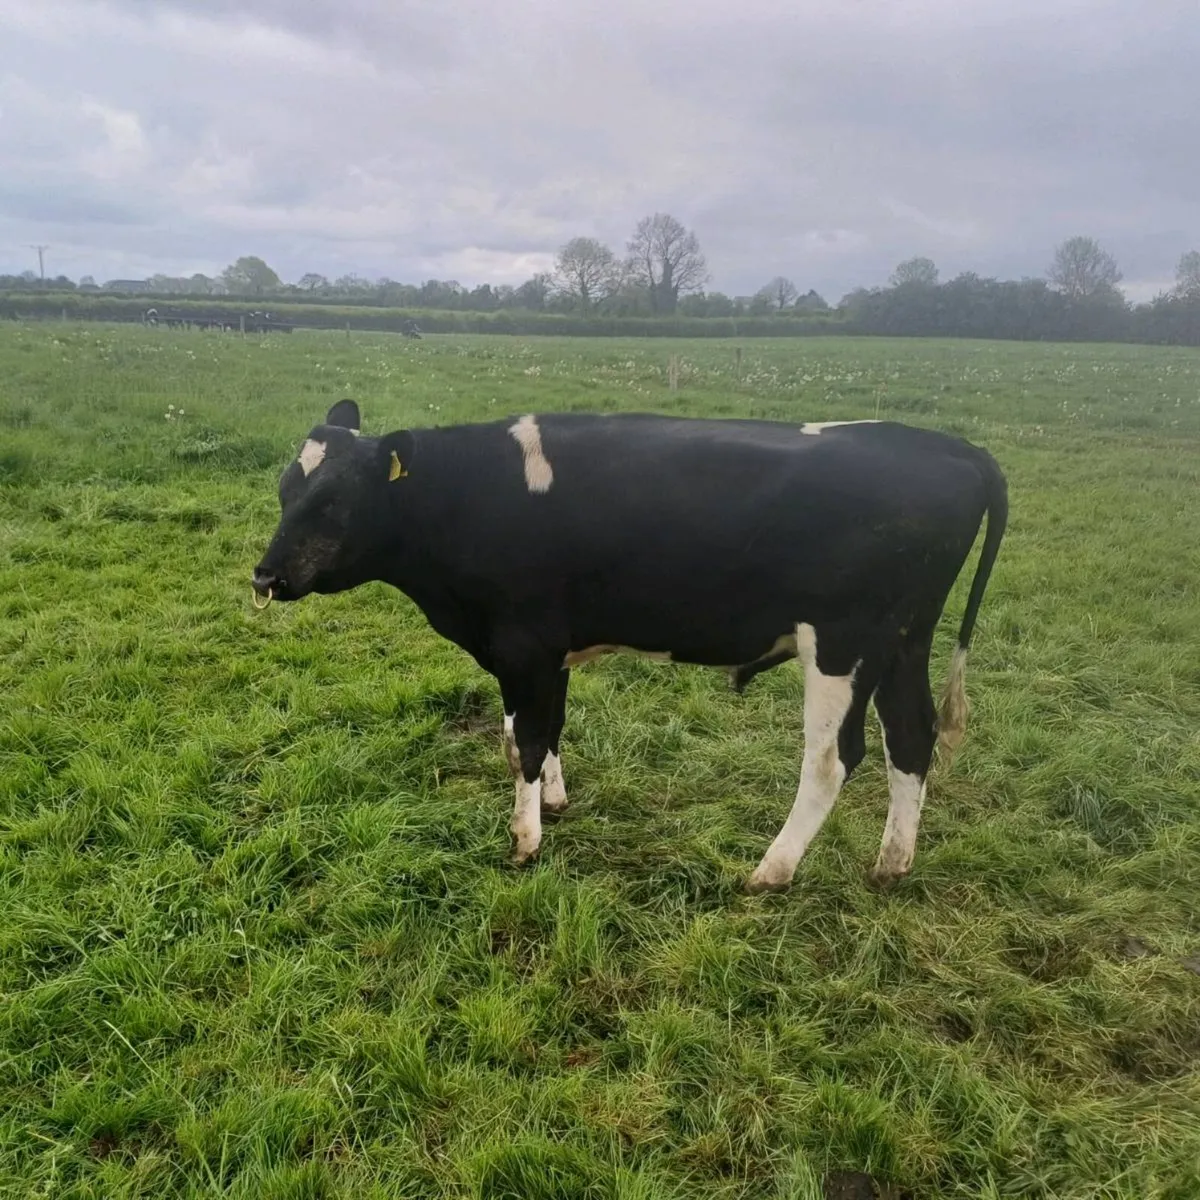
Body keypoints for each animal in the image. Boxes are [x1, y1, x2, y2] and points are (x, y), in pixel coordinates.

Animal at [251, 400, 1007, 892]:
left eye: (334, 501)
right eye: (286, 489)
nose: (265, 576)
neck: (468, 494)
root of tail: (952, 447)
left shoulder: (521, 644)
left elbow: (521, 742)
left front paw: (525, 841)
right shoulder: (546, 650)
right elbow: (546, 728)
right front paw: (555, 802)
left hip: (844, 643)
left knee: (831, 760)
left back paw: (771, 870)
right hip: (904, 641)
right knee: (910, 736)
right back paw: (891, 865)